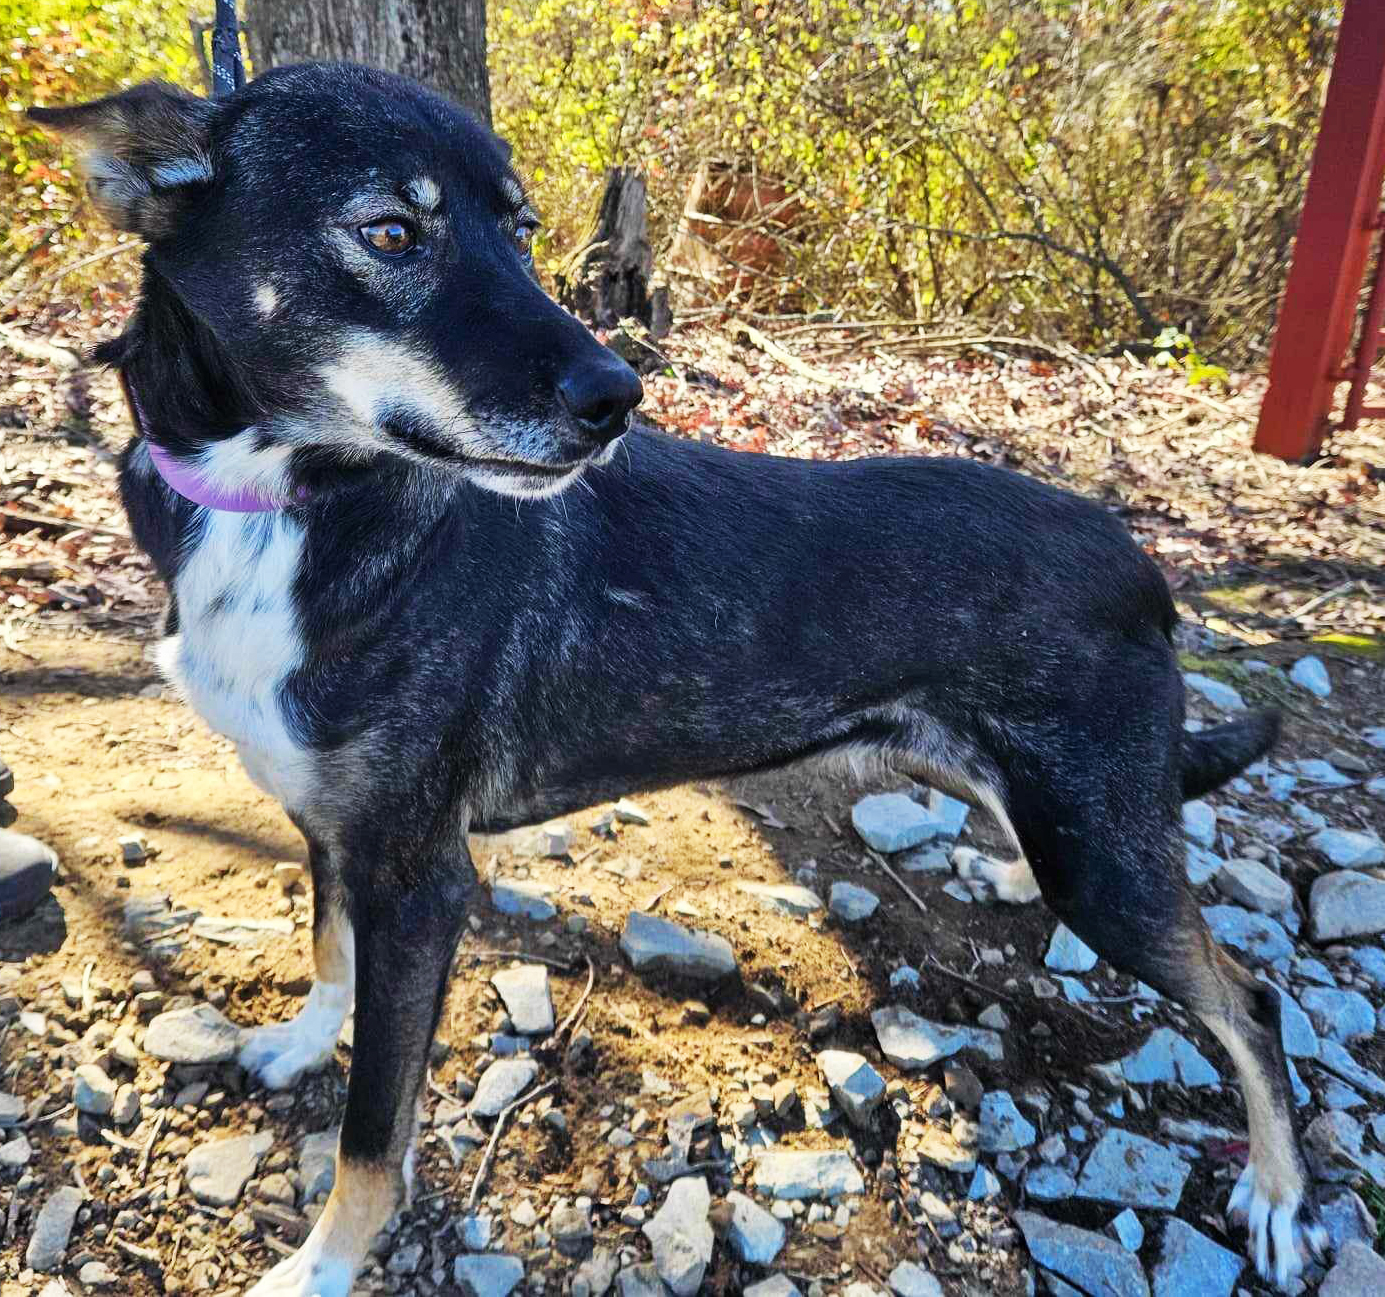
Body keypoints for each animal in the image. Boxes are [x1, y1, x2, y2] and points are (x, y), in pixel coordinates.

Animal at [35, 65, 1318, 1291]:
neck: (284, 503)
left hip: (1102, 865)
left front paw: (323, 1263)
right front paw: (304, 1043)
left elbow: (369, 1132)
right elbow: (323, 949)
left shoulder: (420, 877)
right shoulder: (331, 826)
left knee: (1248, 1002)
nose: (616, 400)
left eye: (522, 229)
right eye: (392, 232)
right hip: (1062, 815)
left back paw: (1276, 1194)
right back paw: (1005, 871)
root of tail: (1138, 560)